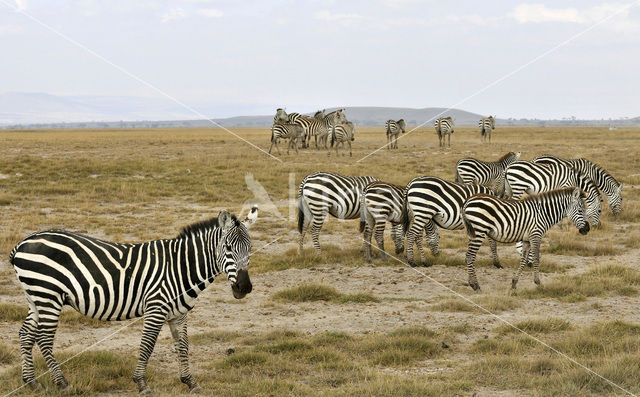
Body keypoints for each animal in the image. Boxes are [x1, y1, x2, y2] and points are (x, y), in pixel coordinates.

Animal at [9, 207, 258, 392]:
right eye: (227, 248)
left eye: (250, 249)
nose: (244, 287)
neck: (180, 267)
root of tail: (23, 242)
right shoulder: (156, 308)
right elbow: (147, 345)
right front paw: (141, 384)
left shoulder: (178, 314)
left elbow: (183, 346)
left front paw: (190, 382)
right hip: (48, 296)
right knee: (43, 338)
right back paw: (62, 383)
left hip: (35, 297)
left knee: (25, 334)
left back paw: (32, 383)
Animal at [460, 187, 592, 290]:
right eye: (581, 210)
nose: (587, 229)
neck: (543, 213)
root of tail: (469, 200)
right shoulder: (536, 235)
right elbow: (536, 259)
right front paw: (538, 282)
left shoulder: (527, 239)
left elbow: (523, 260)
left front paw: (514, 283)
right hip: (479, 231)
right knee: (470, 256)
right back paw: (475, 285)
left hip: (473, 232)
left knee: (468, 256)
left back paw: (473, 283)